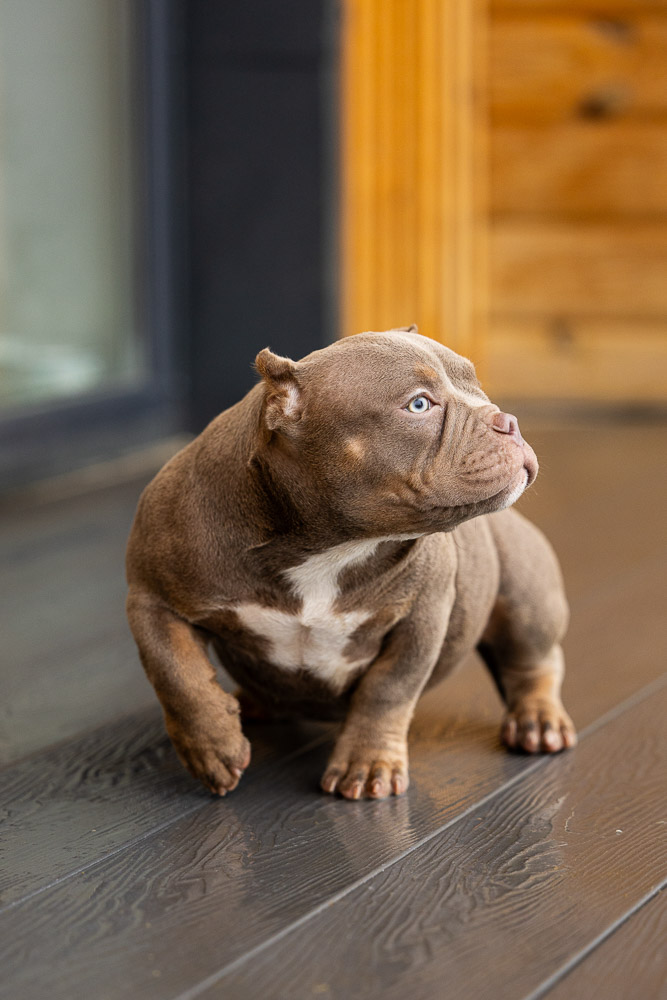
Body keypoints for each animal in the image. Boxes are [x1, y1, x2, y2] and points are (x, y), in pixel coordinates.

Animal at [126, 327, 576, 800]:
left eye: (478, 386)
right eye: (419, 404)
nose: (507, 420)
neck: (330, 545)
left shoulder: (421, 619)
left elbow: (388, 690)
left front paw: (367, 763)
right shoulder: (151, 596)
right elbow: (176, 675)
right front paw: (213, 748)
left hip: (526, 595)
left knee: (533, 661)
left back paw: (539, 721)